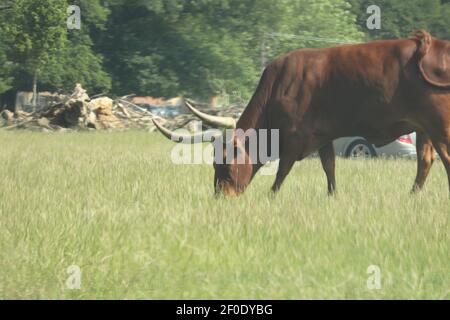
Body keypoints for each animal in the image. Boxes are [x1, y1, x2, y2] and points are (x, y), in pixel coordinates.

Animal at [154, 30, 450, 195]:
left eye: (224, 164)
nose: (221, 197)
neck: (276, 88)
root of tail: (430, 45)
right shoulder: (323, 136)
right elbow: (329, 167)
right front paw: (332, 197)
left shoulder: (295, 139)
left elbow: (281, 172)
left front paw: (271, 197)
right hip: (423, 127)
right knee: (425, 162)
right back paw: (411, 197)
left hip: (439, 125)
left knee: (444, 161)